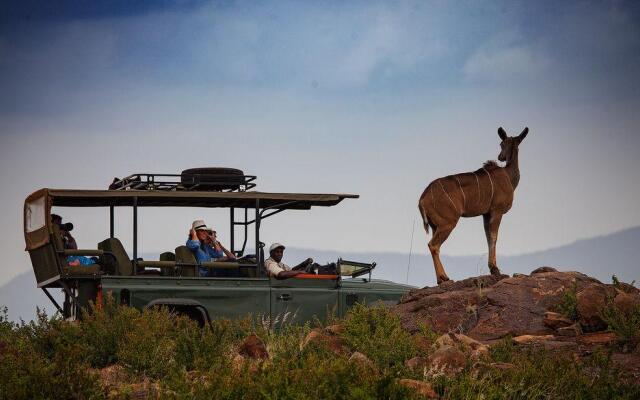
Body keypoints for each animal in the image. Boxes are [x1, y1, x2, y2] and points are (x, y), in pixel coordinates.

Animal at [418, 127, 528, 284]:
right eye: (501, 143)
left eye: (506, 144)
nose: (501, 157)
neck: (508, 176)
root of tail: (422, 199)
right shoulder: (497, 210)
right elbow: (494, 236)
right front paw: (495, 269)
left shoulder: (486, 214)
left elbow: (488, 236)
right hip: (448, 223)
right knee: (433, 245)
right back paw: (444, 278)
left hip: (435, 226)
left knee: (434, 245)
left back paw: (441, 279)